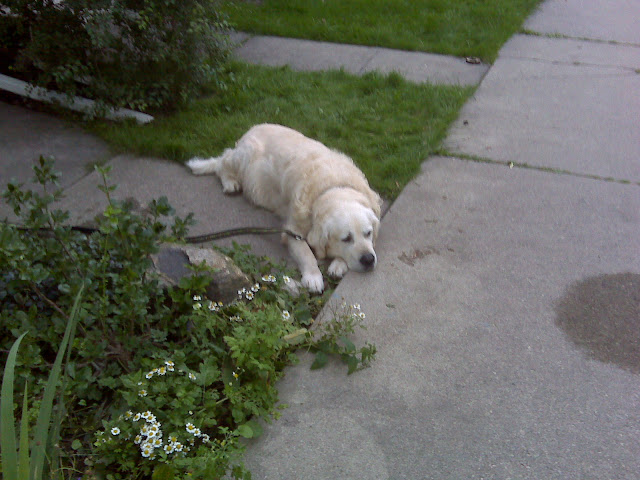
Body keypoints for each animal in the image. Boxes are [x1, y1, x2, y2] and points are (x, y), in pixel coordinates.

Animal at [186, 124, 382, 293]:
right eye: (346, 238)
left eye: (368, 233)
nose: (368, 259)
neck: (333, 186)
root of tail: (251, 129)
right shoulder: (292, 231)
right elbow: (306, 253)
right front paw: (314, 277)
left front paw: (338, 264)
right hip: (245, 156)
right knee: (223, 161)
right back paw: (230, 182)